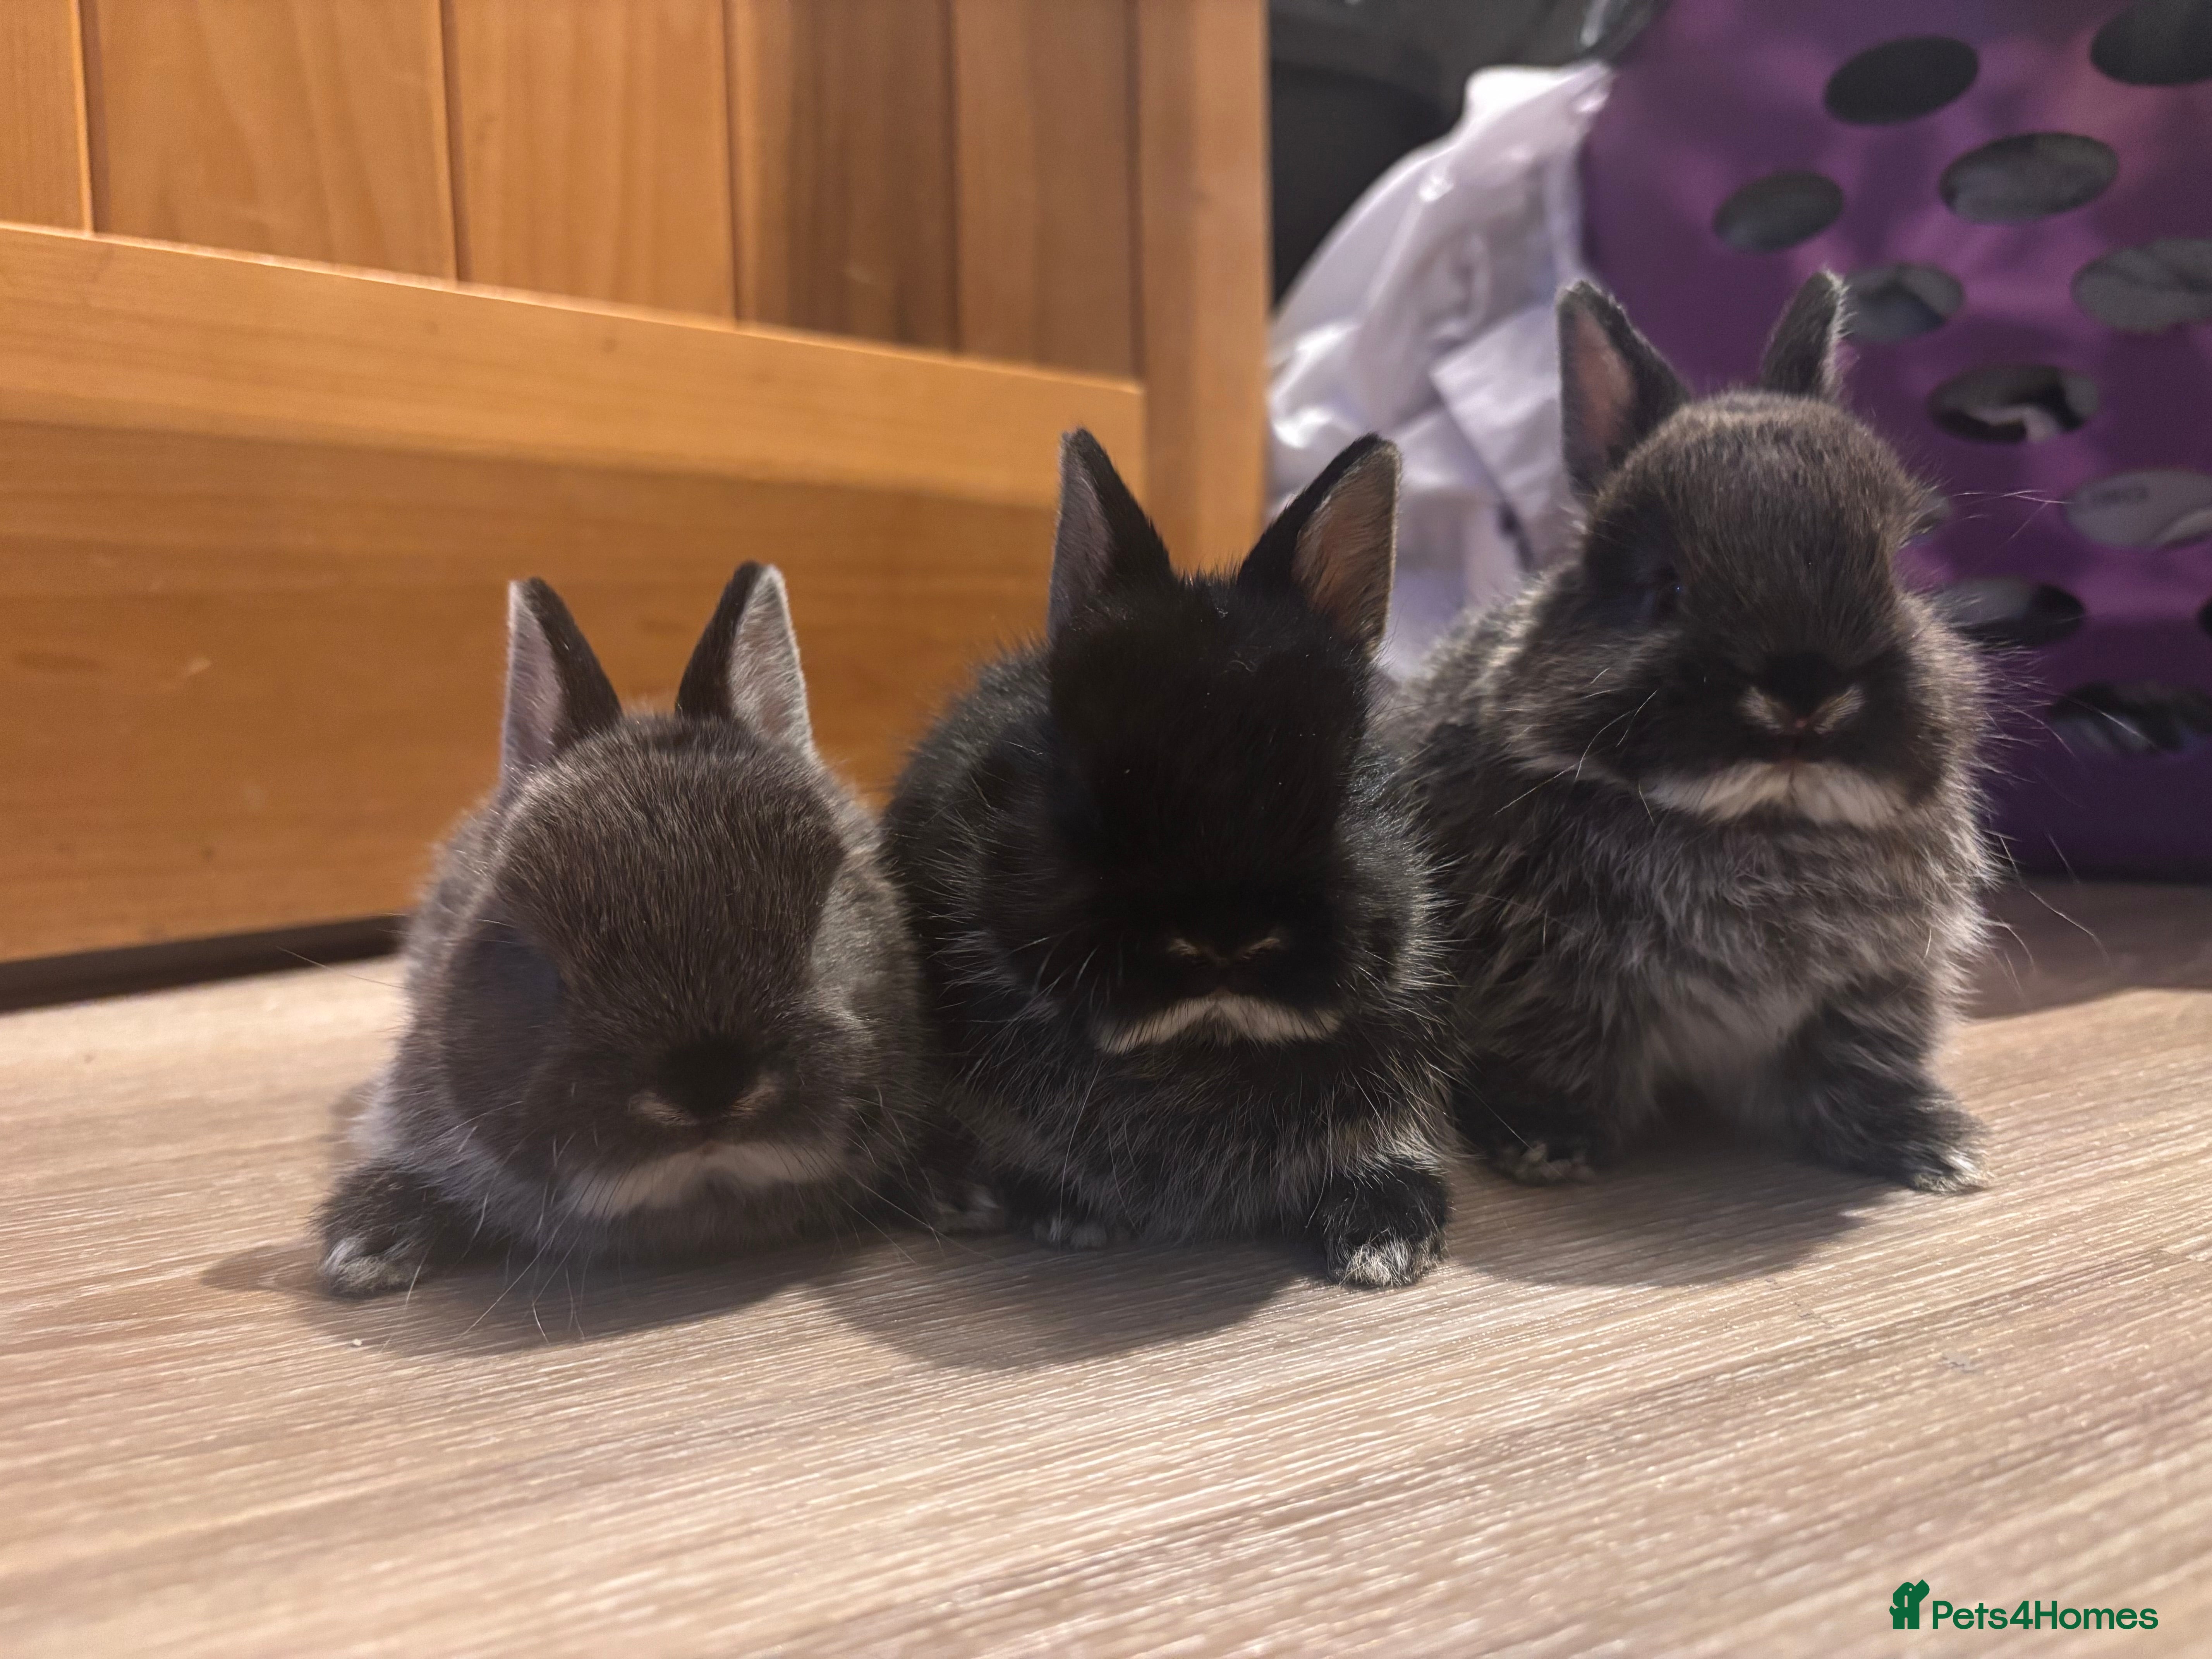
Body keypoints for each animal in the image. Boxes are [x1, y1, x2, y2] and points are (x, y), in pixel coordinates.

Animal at [881, 430, 1457, 1289]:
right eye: (1075, 783)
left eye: (1350, 778)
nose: (1224, 940)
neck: (1203, 1046)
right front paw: (1065, 1214)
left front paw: (1385, 1243)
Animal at [1386, 272, 1991, 1192]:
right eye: (1663, 587)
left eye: (1894, 567)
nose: (1804, 693)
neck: (1761, 821)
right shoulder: (1547, 987)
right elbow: (1556, 1060)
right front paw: (1544, 1145)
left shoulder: (1873, 988)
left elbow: (1856, 1065)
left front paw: (1930, 1144)